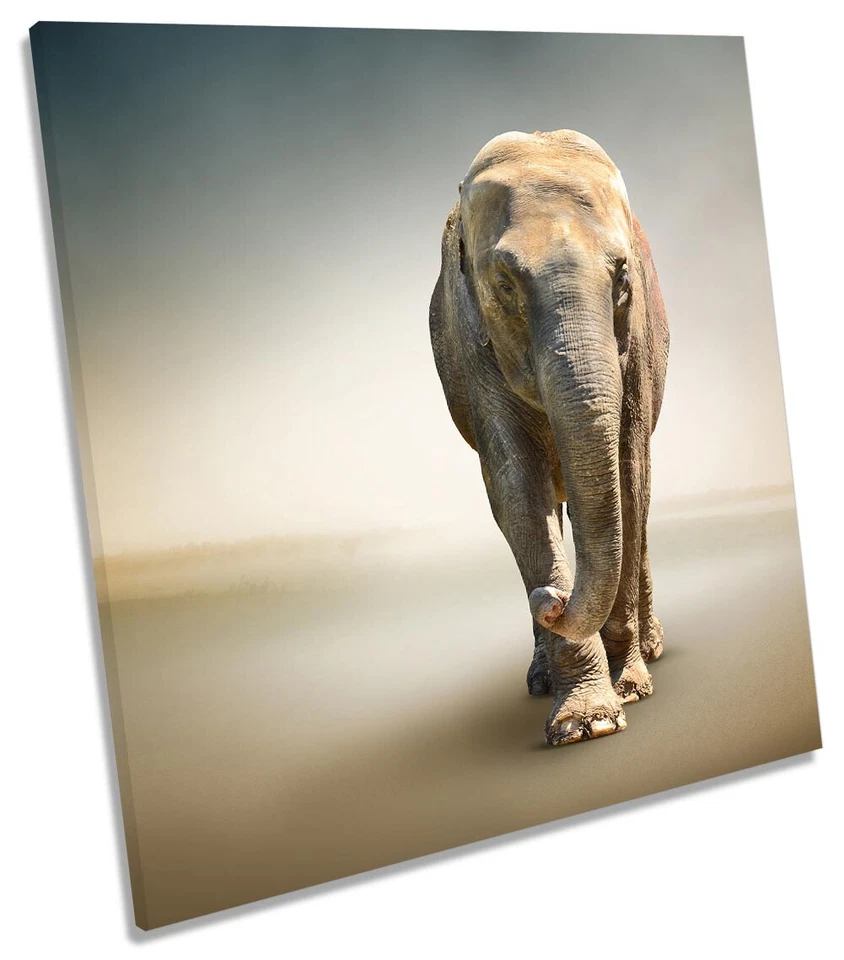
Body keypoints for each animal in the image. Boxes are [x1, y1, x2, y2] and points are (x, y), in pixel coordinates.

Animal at [429, 129, 669, 746]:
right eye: (503, 284)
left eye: (623, 278)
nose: (553, 602)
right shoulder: (471, 344)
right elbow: (516, 493)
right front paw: (587, 723)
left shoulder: (636, 345)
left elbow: (628, 477)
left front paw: (628, 691)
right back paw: (540, 676)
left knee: (640, 506)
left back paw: (651, 651)